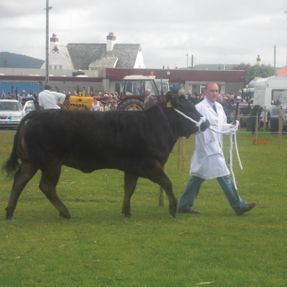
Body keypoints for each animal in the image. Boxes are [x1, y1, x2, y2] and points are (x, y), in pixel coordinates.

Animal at [2, 94, 209, 218]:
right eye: (189, 108)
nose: (206, 123)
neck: (156, 125)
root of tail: (37, 114)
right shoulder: (150, 165)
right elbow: (167, 182)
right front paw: (173, 208)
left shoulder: (132, 167)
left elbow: (129, 188)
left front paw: (126, 211)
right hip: (51, 162)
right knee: (46, 186)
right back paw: (65, 212)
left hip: (31, 161)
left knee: (19, 182)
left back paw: (10, 211)